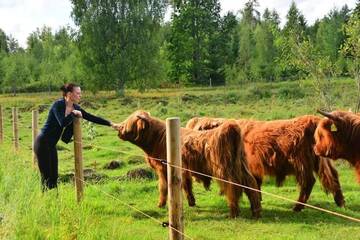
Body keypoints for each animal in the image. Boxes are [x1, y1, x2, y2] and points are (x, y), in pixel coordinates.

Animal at [116, 110, 260, 218]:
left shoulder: (163, 169)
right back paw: (256, 210)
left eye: (128, 124)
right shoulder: (184, 170)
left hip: (225, 170)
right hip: (241, 166)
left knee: (232, 186)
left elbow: (163, 187)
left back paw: (234, 212)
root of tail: (230, 127)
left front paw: (161, 204)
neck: (159, 139)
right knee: (250, 183)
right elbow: (186, 185)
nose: (119, 130)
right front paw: (191, 202)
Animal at [187, 115, 344, 211]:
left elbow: (251, 184)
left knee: (308, 182)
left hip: (302, 162)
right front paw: (260, 198)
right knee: (332, 175)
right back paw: (340, 202)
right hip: (321, 160)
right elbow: (256, 183)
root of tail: (314, 120)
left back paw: (297, 207)